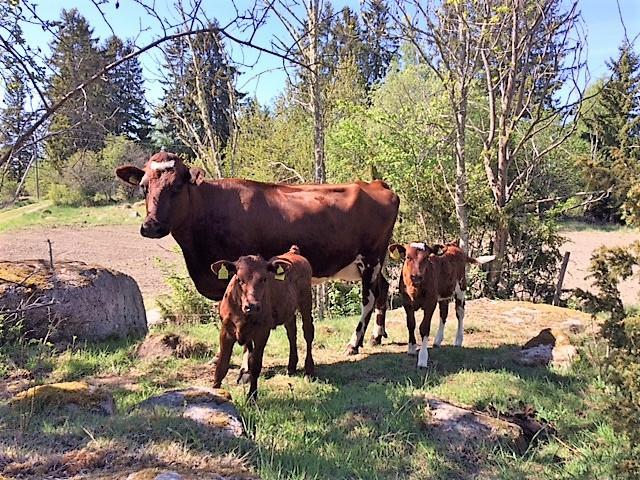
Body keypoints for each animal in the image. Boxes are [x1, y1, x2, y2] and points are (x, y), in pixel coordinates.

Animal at [112, 152, 398, 354]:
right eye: (144, 187)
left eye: (176, 186)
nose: (151, 226)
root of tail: (376, 184)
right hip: (371, 262)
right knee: (383, 289)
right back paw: (377, 336)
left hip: (370, 259)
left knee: (369, 298)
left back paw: (354, 343)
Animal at [212, 246, 316, 400]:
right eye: (239, 279)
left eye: (264, 279)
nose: (252, 306)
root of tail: (293, 252)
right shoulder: (226, 330)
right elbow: (222, 365)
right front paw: (215, 391)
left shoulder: (262, 331)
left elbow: (255, 364)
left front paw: (252, 397)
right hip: (288, 310)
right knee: (292, 333)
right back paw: (291, 366)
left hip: (306, 301)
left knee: (308, 332)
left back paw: (309, 370)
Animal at [384, 242, 496, 370]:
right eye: (408, 257)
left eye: (426, 257)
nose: (416, 276)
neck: (415, 288)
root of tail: (455, 247)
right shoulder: (406, 303)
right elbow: (411, 324)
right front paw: (411, 348)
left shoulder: (430, 303)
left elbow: (424, 328)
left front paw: (422, 359)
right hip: (444, 295)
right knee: (444, 314)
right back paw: (437, 341)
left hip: (461, 288)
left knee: (460, 313)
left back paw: (458, 340)